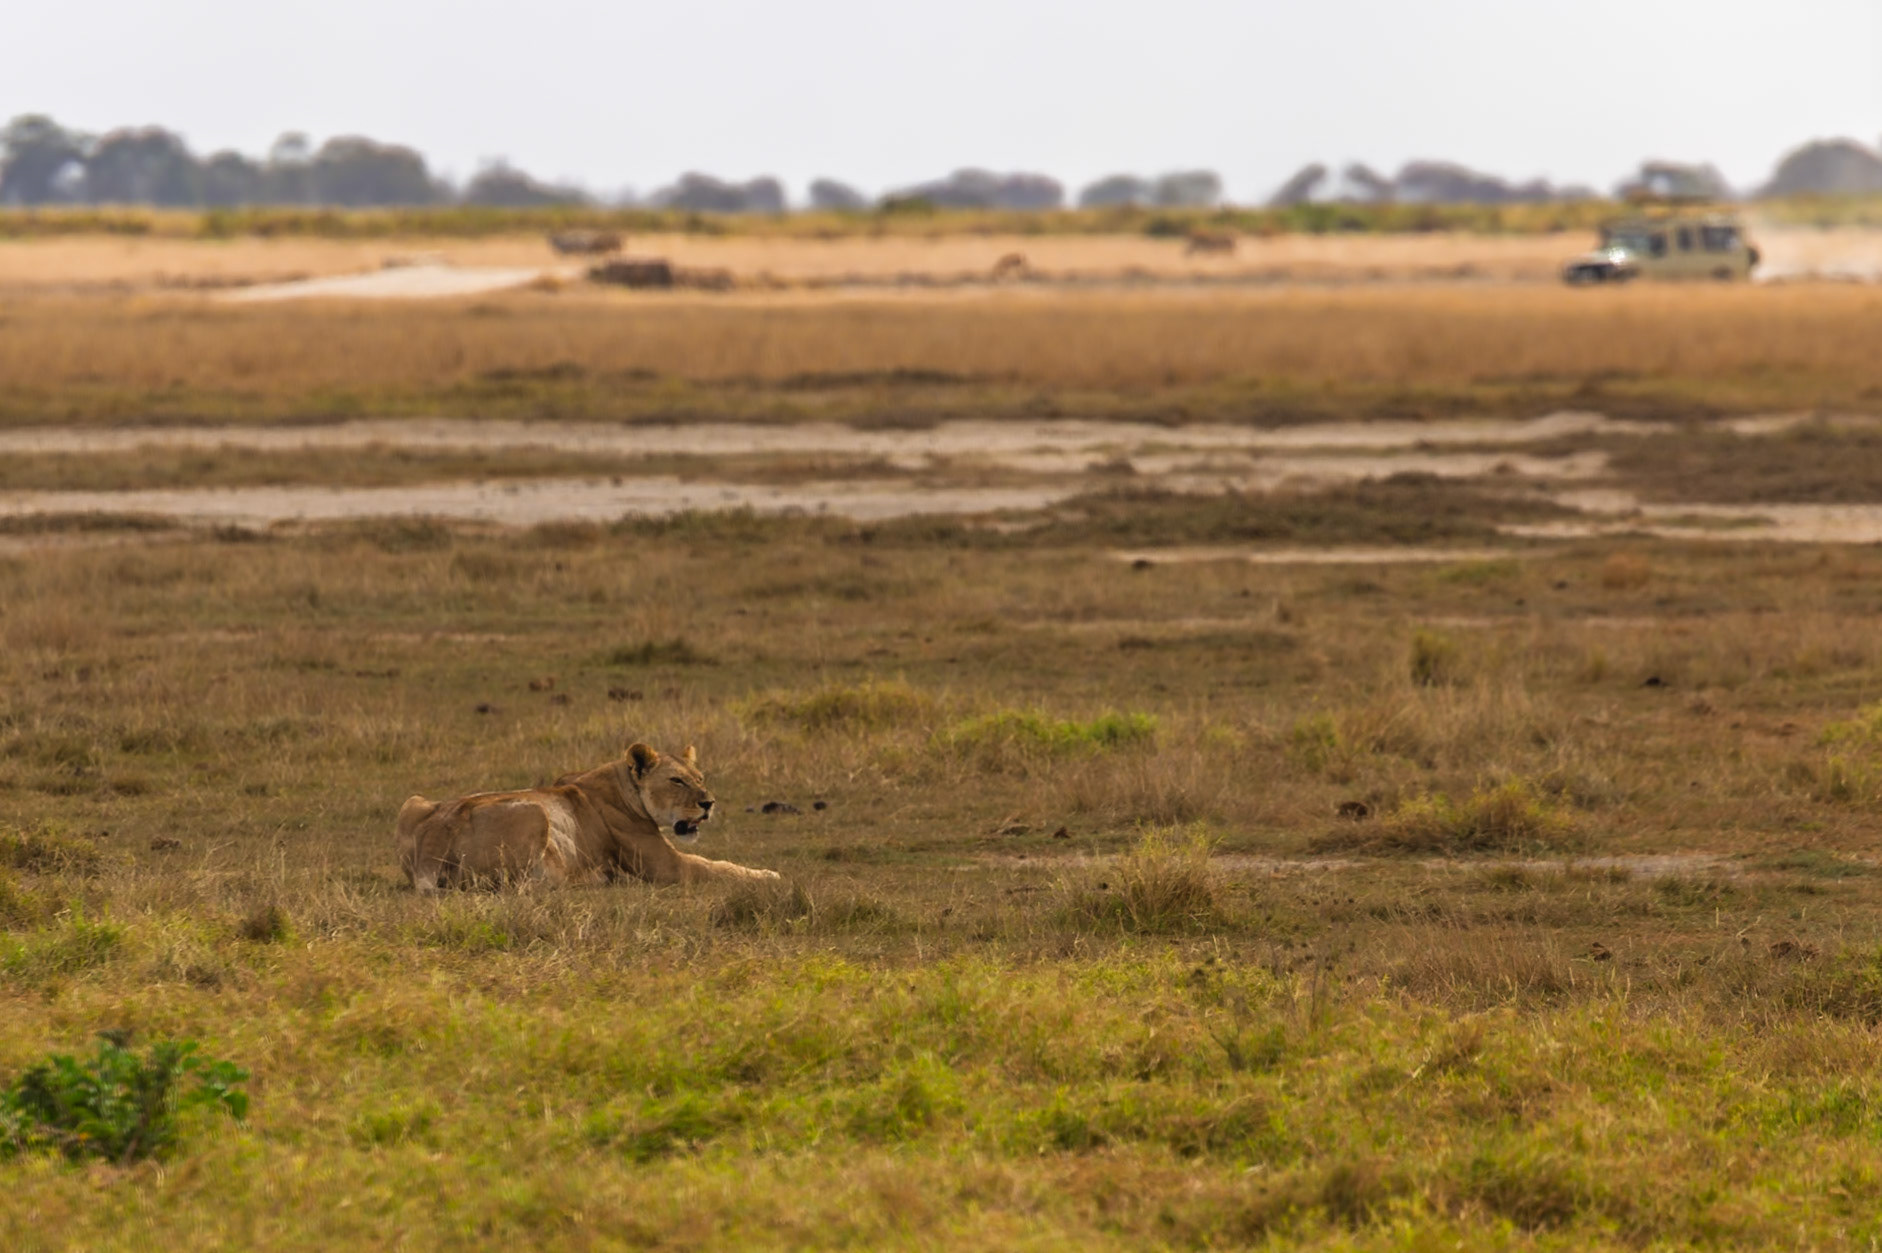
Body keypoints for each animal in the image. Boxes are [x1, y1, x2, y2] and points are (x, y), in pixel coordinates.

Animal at [395, 742, 779, 892]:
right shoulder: (668, 868)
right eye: (677, 781)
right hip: (534, 810)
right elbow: (717, 867)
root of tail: (441, 828)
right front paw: (769, 875)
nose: (709, 803)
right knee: (527, 885)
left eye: (700, 778)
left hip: (412, 801)